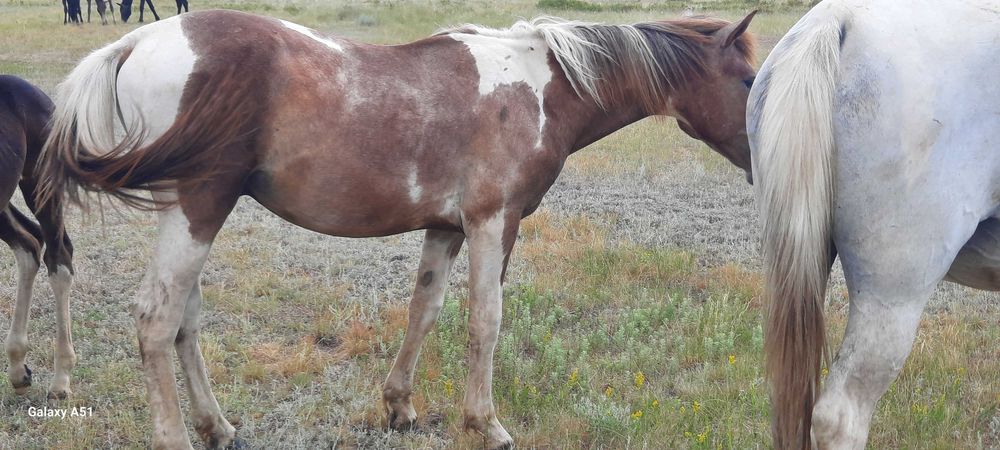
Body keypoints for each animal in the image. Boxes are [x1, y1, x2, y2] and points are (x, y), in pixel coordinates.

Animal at [37, 10, 756, 449]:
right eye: (749, 78)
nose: (760, 160)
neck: (538, 88)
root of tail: (136, 42)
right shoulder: (494, 223)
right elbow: (485, 319)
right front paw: (485, 422)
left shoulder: (446, 228)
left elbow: (424, 310)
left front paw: (400, 406)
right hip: (198, 208)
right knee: (156, 320)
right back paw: (179, 435)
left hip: (189, 215)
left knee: (182, 321)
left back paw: (218, 426)